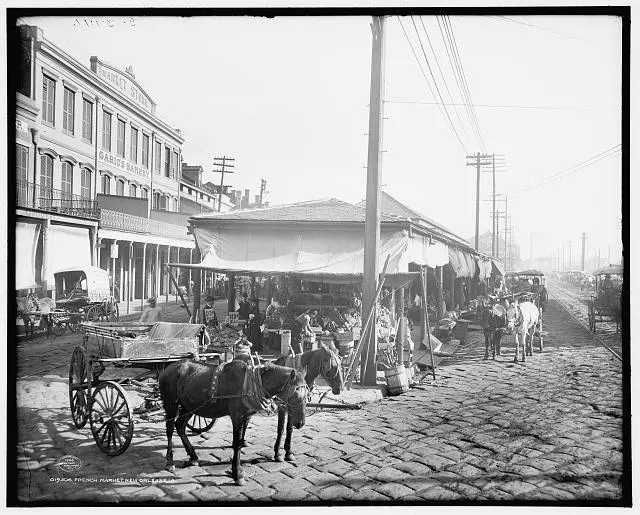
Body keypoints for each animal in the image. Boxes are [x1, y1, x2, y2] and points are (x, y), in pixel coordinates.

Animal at [159, 358, 306, 484]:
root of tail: (167, 369)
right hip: (170, 403)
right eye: (295, 394)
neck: (251, 384)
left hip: (189, 406)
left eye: (307, 395)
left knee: (180, 426)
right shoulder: (237, 416)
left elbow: (241, 441)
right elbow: (236, 444)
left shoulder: (246, 416)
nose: (300, 423)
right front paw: (237, 473)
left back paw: (193, 457)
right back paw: (170, 461)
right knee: (170, 428)